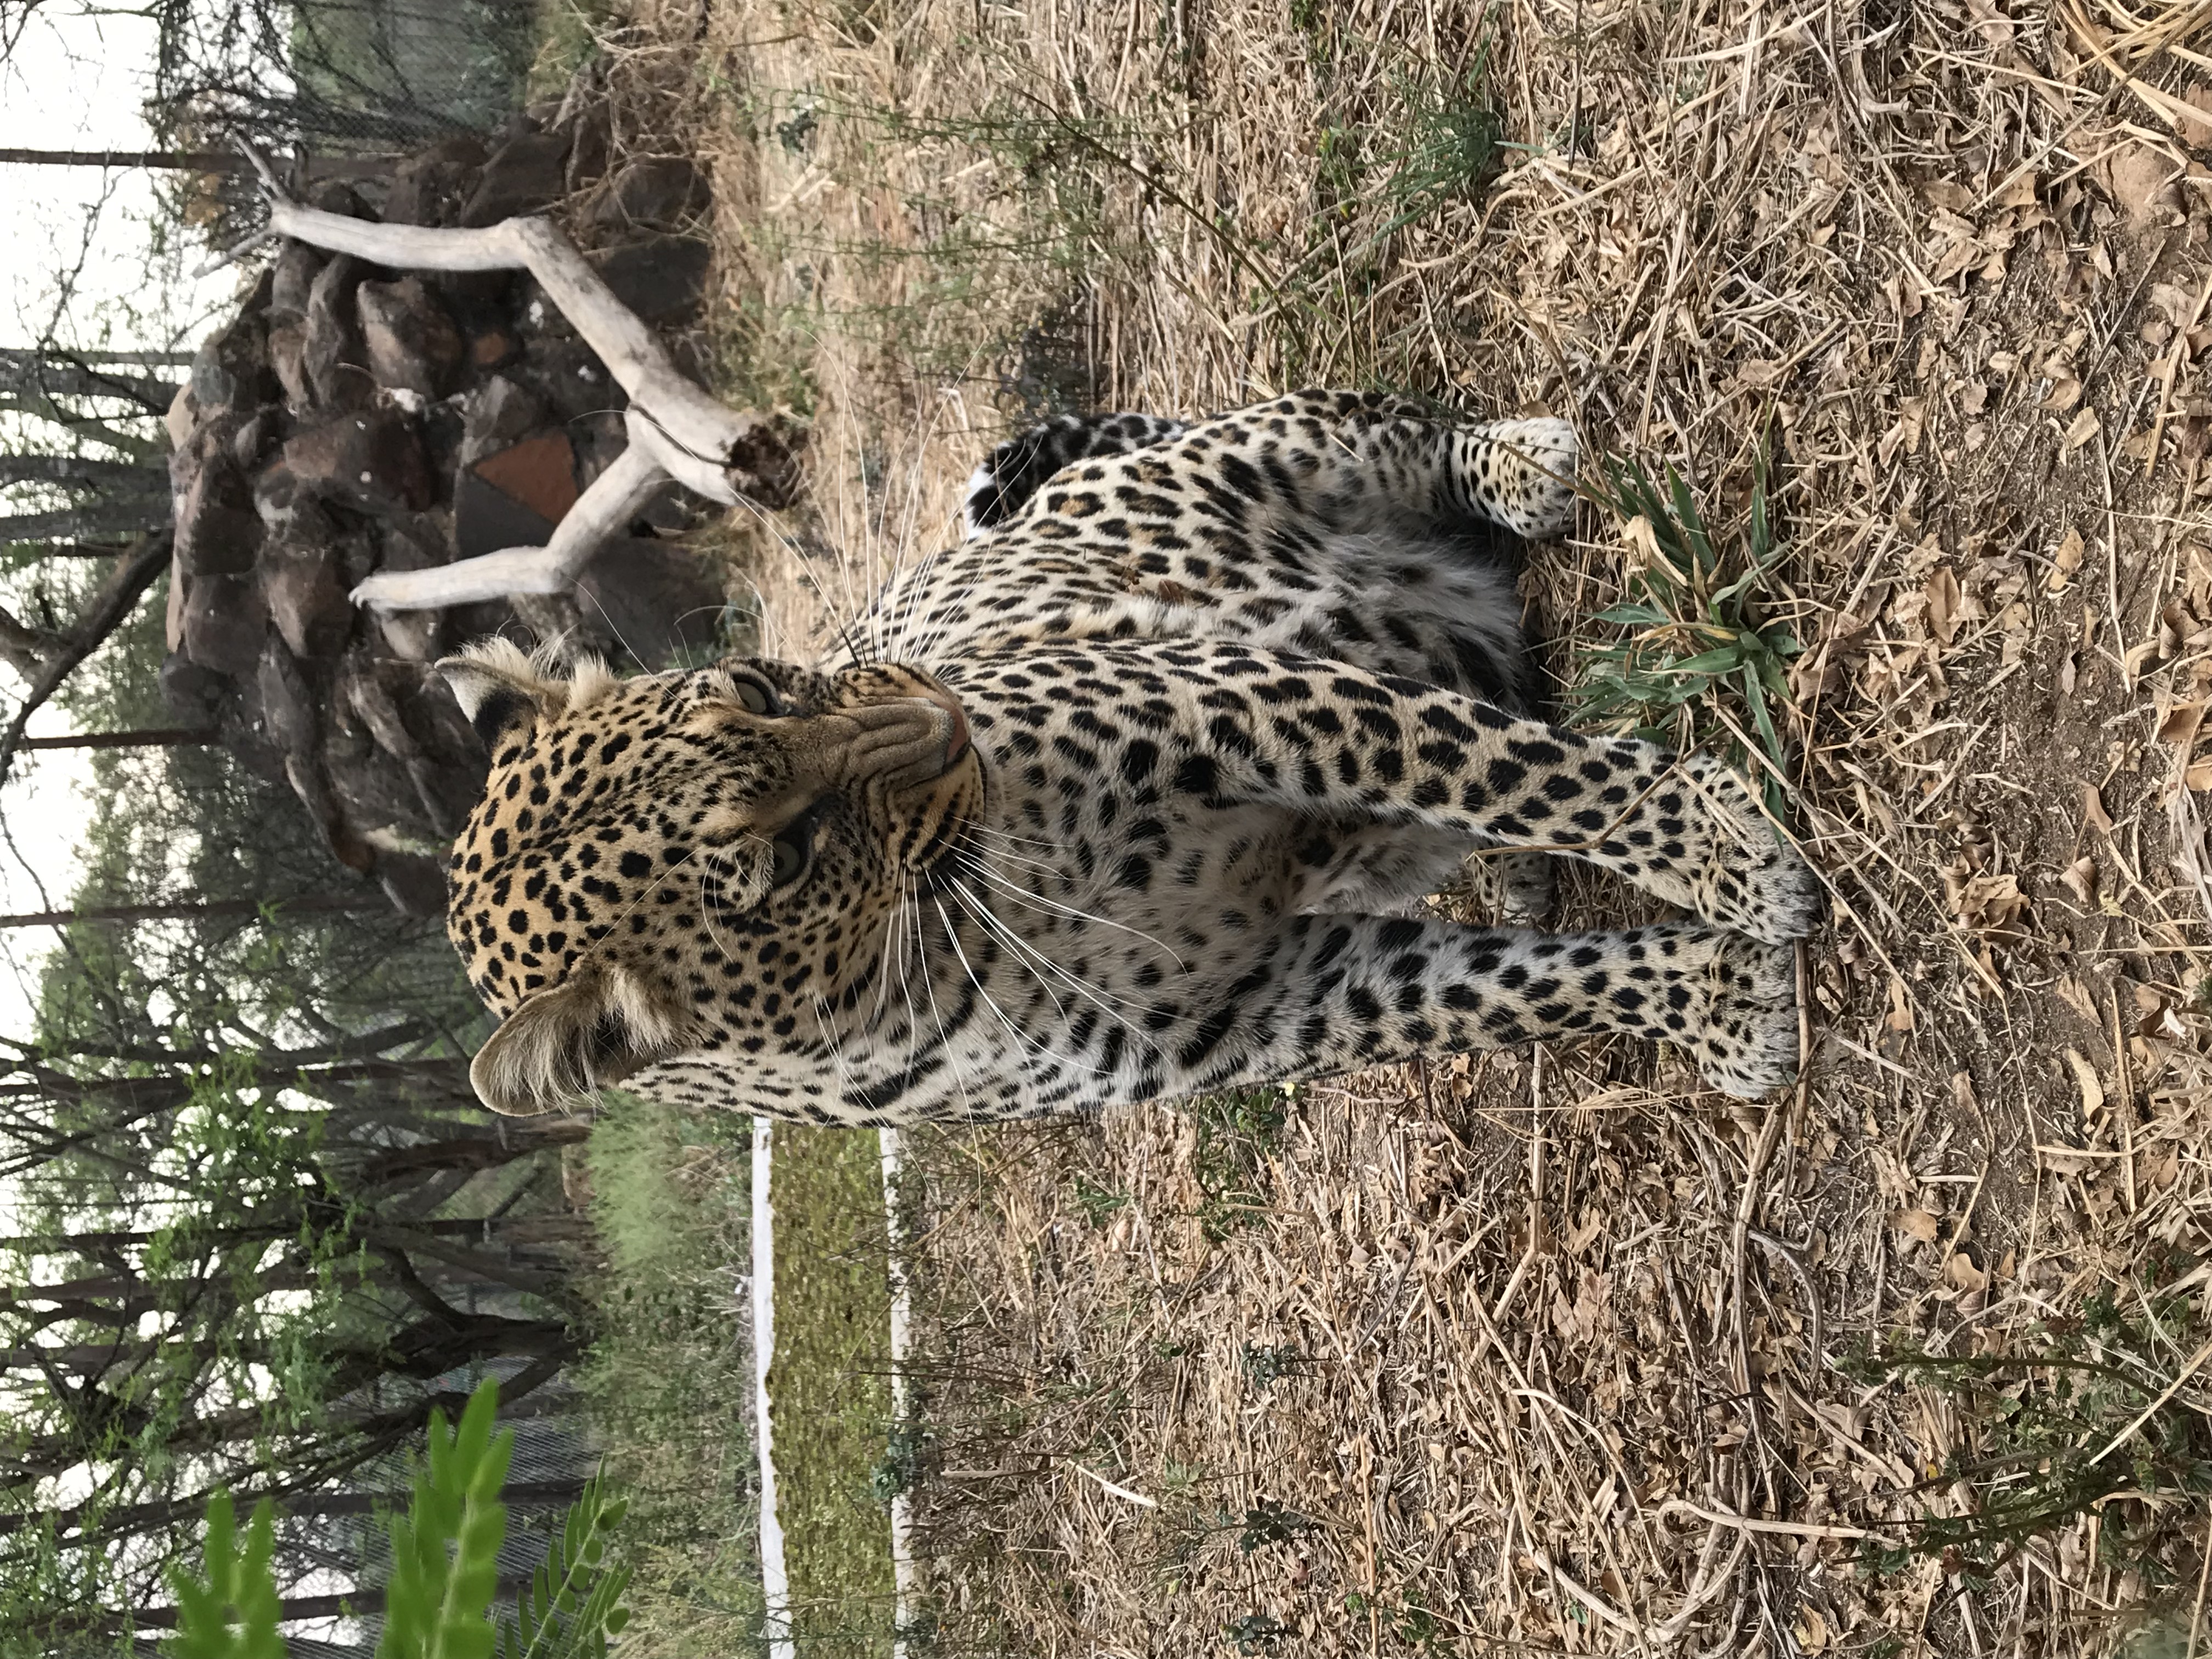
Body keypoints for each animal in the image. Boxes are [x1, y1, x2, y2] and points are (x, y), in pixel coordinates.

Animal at [441, 389, 1818, 1125]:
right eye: (788, 860)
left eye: (766, 685)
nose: (947, 718)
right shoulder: (1252, 1009)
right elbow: (1506, 994)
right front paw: (1720, 996)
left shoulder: (1237, 703)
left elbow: (1523, 777)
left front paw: (1724, 851)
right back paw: (1512, 875)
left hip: (1263, 454)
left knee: (1388, 422)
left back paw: (1521, 464)